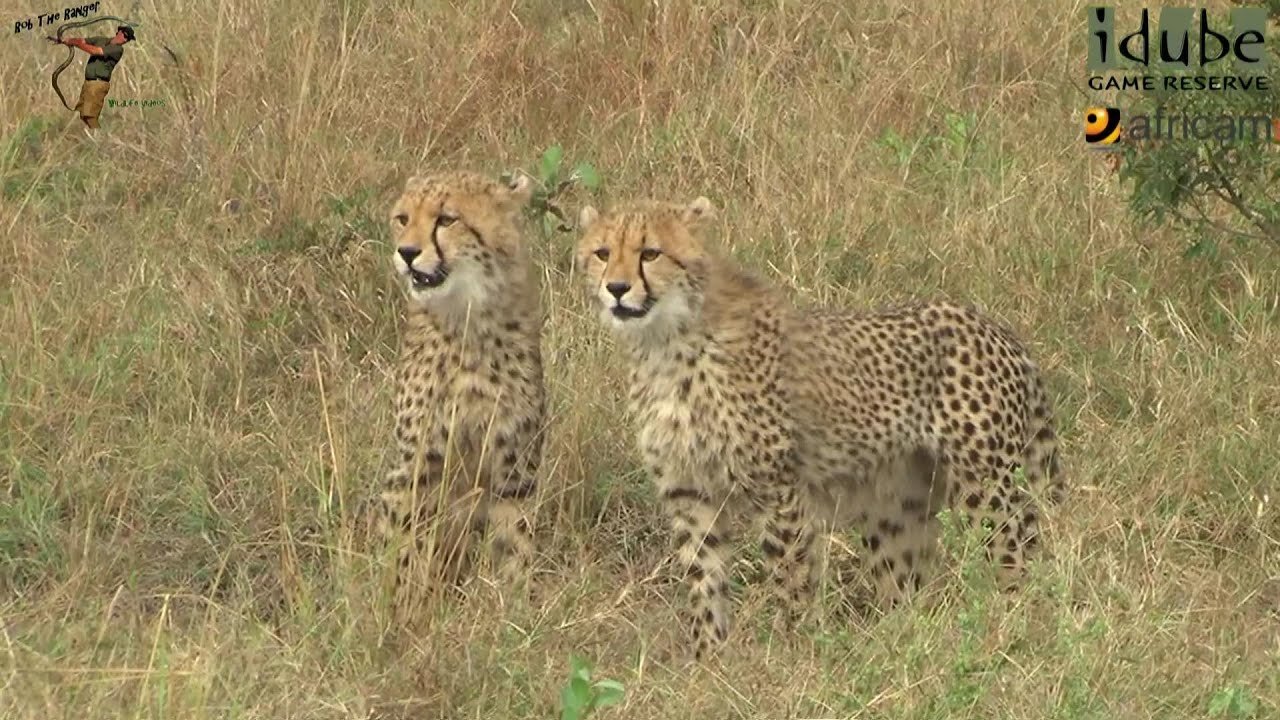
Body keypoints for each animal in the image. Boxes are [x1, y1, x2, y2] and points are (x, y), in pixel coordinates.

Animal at [373, 170, 547, 620]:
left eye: (446, 220)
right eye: (402, 218)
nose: (407, 252)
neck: (467, 319)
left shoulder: (512, 469)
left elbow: (514, 542)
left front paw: (515, 610)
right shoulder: (418, 463)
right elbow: (408, 548)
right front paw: (408, 613)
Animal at [576, 193, 1064, 661]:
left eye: (650, 252)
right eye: (603, 253)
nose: (616, 289)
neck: (665, 344)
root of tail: (994, 325)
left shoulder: (779, 490)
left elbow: (789, 574)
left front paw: (793, 653)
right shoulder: (690, 493)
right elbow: (703, 579)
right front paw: (706, 661)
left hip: (984, 488)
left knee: (1019, 553)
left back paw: (1015, 625)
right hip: (897, 504)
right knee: (907, 586)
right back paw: (899, 643)